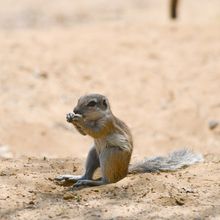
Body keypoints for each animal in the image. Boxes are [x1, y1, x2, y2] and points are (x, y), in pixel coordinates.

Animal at [55, 93, 203, 186]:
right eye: (78, 99)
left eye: (92, 103)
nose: (75, 110)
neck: (95, 118)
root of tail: (125, 171)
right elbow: (84, 134)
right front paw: (70, 116)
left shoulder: (106, 124)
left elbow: (94, 132)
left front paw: (78, 119)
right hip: (93, 154)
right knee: (87, 173)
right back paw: (73, 178)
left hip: (109, 154)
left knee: (107, 181)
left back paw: (90, 182)